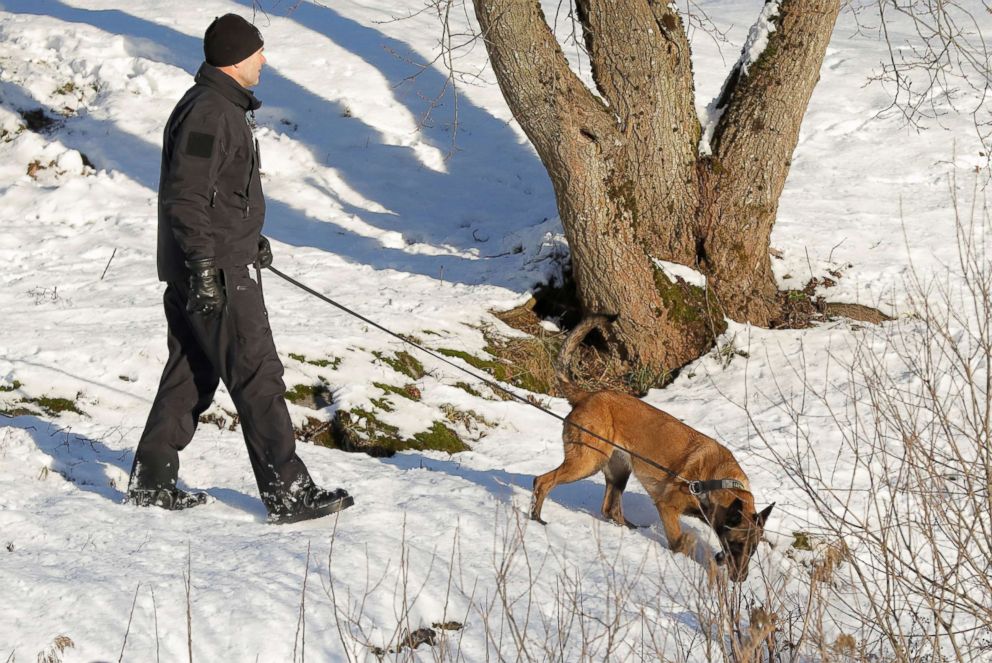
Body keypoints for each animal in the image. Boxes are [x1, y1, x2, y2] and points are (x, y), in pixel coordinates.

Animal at [532, 316, 772, 580]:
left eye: (752, 550)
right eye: (736, 545)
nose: (741, 579)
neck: (714, 480)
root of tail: (587, 395)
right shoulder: (667, 507)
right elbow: (679, 542)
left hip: (618, 472)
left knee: (610, 509)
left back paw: (631, 528)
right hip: (587, 462)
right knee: (542, 480)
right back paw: (537, 517)